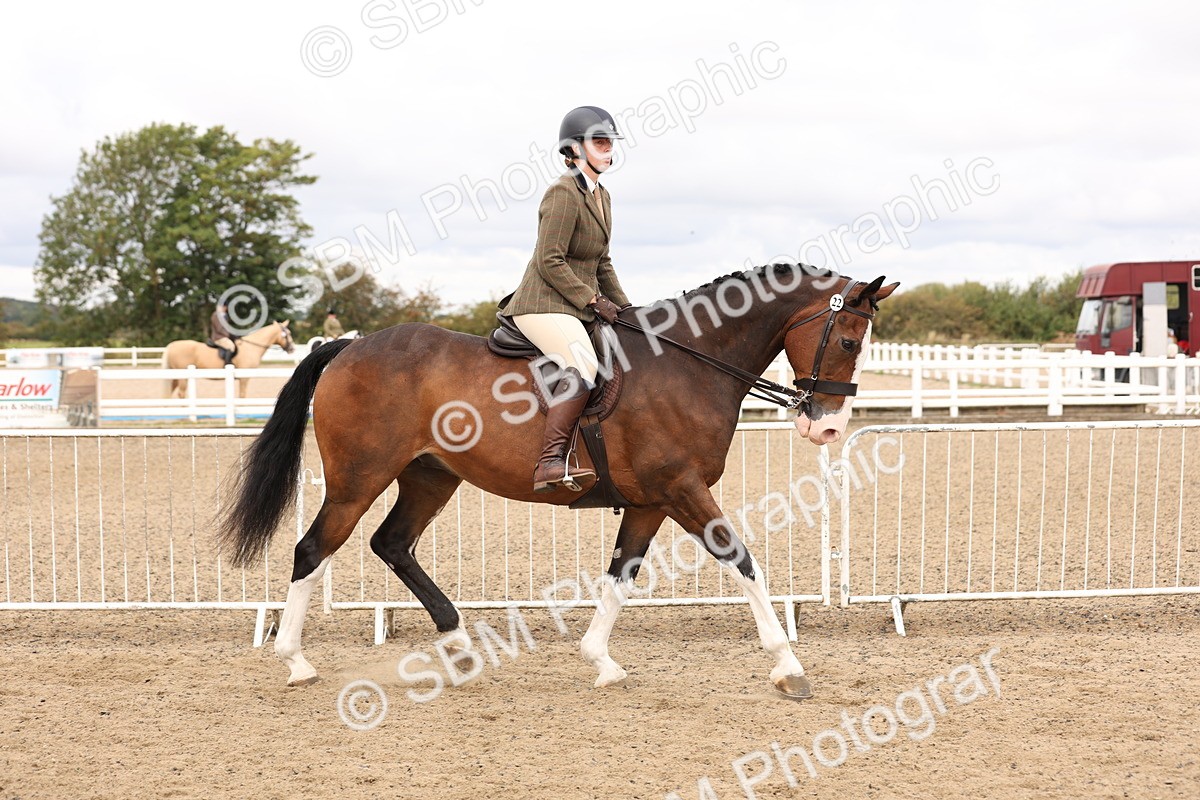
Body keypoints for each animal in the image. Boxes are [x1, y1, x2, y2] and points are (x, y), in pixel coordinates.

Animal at [161, 321, 295, 399]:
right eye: (287, 334)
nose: (292, 348)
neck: (251, 347)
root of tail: (171, 345)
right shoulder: (245, 378)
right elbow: (242, 395)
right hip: (182, 376)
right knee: (181, 393)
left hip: (175, 376)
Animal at [218, 265, 897, 698]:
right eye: (846, 340)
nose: (829, 428)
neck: (687, 365)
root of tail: (349, 346)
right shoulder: (683, 489)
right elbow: (744, 562)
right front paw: (788, 666)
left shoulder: (651, 501)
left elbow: (621, 576)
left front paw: (601, 663)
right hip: (359, 478)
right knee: (313, 549)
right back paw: (296, 662)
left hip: (431, 478)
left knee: (392, 544)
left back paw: (460, 648)